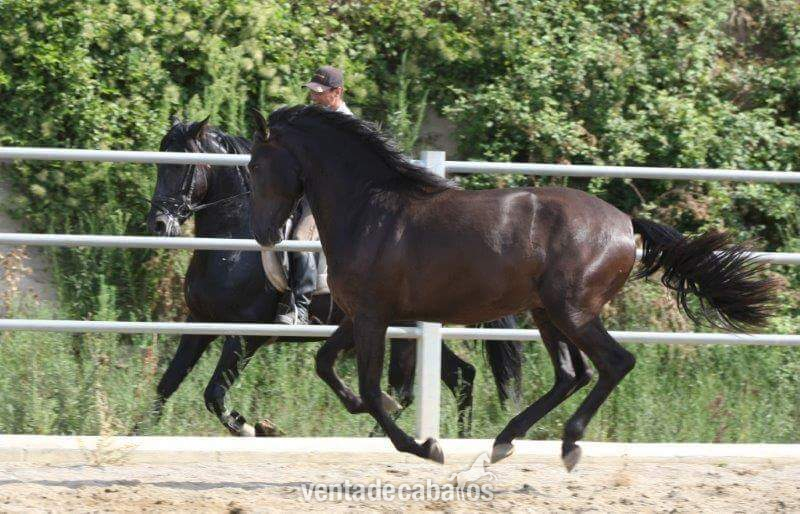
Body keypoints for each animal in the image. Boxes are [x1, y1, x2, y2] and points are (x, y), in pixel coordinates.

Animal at [143, 116, 524, 438]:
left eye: (181, 165)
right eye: (160, 163)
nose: (159, 224)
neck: (232, 244)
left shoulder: (246, 335)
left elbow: (214, 394)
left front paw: (253, 428)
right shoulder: (200, 324)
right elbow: (165, 386)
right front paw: (141, 432)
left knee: (410, 389)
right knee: (461, 376)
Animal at [247, 104, 776, 468]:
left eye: (254, 166)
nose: (264, 234)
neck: (372, 211)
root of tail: (627, 223)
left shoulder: (376, 317)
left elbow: (374, 390)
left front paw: (425, 446)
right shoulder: (364, 315)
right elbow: (327, 364)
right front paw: (381, 416)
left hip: (572, 311)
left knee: (613, 364)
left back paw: (568, 444)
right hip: (546, 314)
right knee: (572, 374)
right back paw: (503, 441)